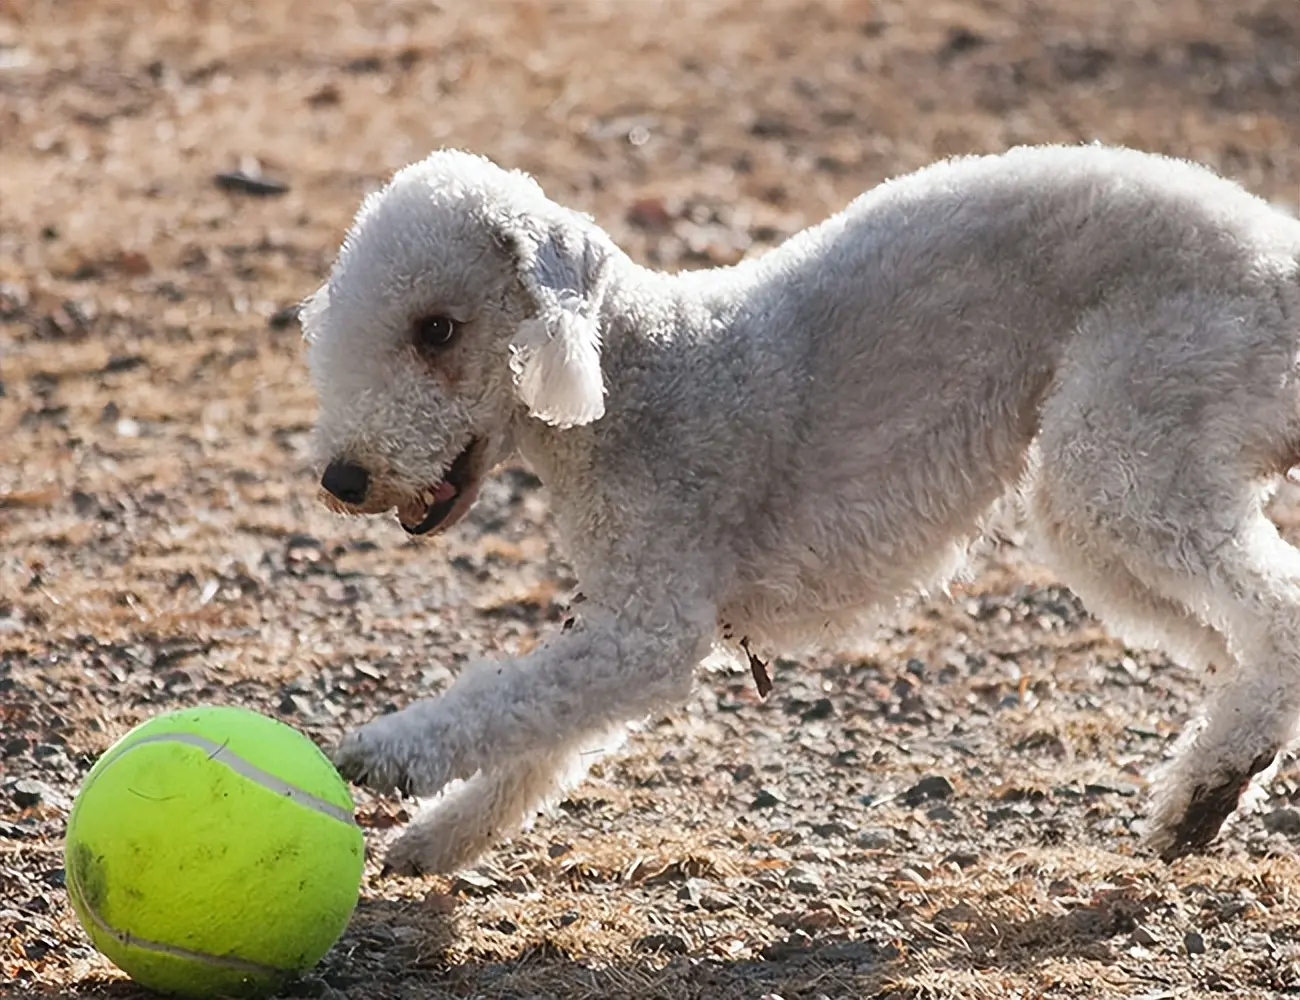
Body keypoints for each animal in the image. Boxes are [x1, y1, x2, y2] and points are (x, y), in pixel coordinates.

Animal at [299, 142, 1300, 873]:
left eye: (437, 330)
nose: (342, 480)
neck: (633, 376)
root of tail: (1282, 259)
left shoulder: (649, 620)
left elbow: (514, 697)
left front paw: (387, 753)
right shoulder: (620, 611)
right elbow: (544, 729)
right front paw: (436, 839)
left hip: (1128, 433)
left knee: (1278, 613)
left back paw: (1213, 781)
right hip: (1113, 491)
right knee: (1236, 645)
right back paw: (1207, 791)